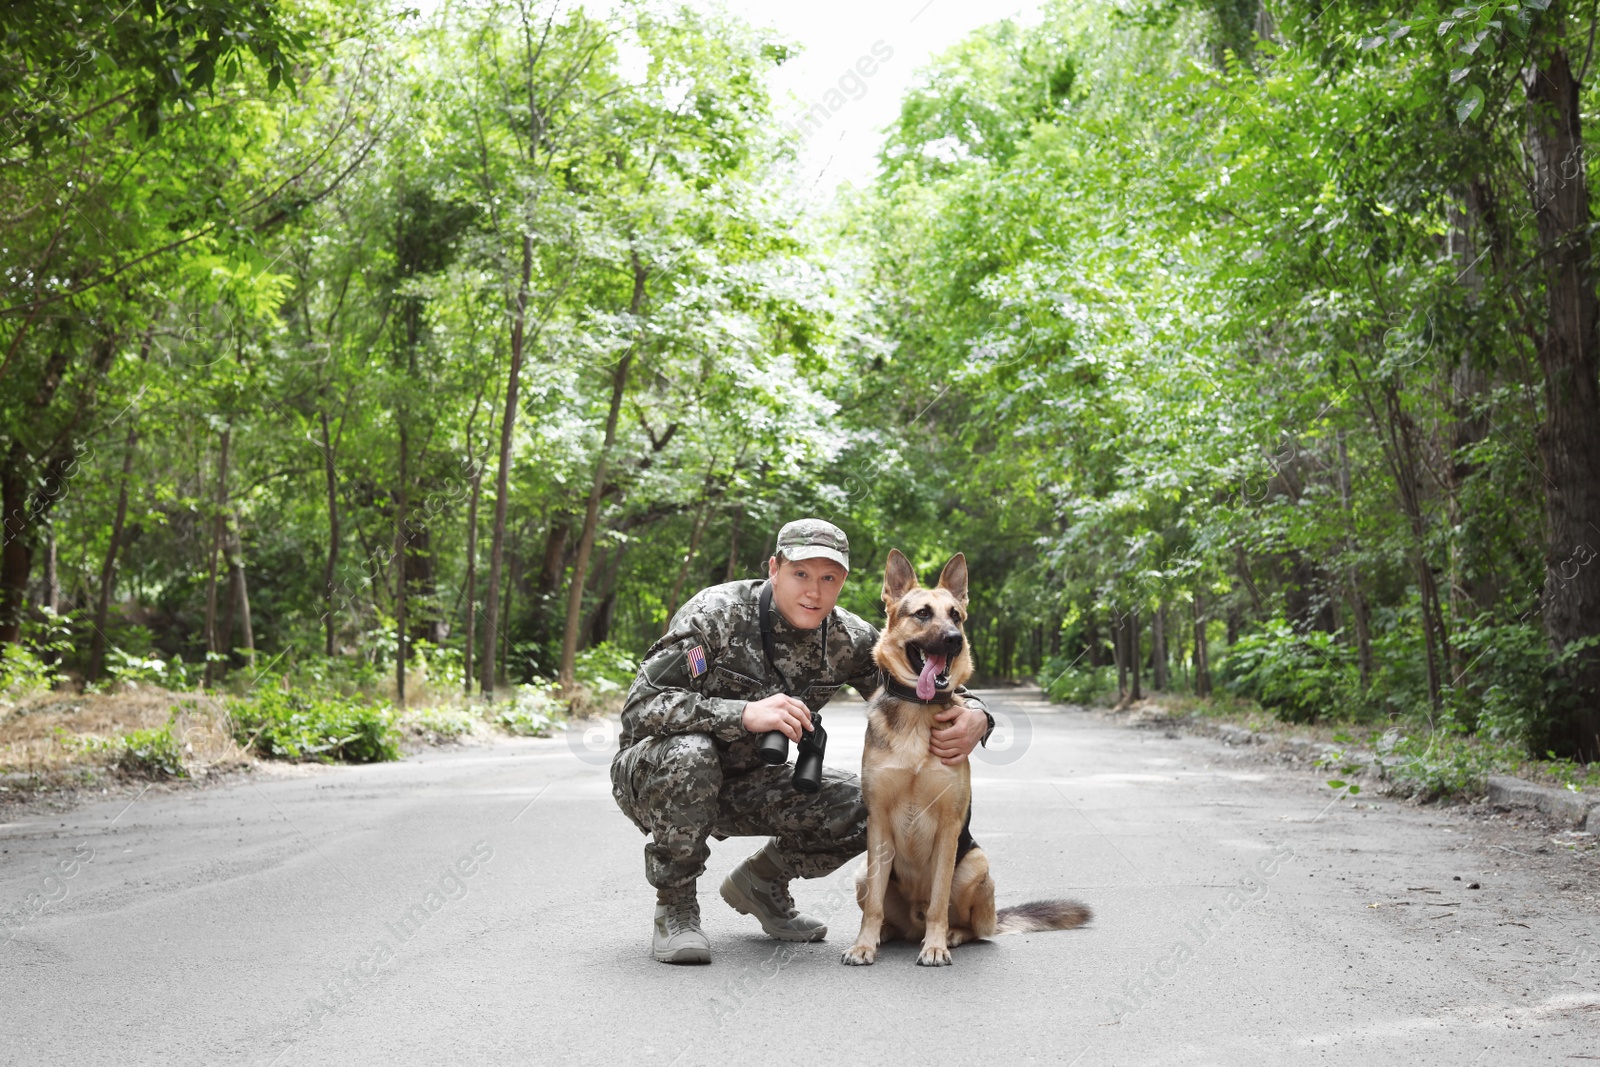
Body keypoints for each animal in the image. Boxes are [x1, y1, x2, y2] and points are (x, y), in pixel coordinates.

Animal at [844, 550, 1094, 966]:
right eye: (923, 613)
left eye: (956, 615)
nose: (954, 640)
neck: (919, 713)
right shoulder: (877, 824)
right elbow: (875, 905)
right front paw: (863, 944)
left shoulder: (948, 826)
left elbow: (939, 900)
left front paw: (935, 947)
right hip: (862, 874)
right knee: (885, 910)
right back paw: (885, 934)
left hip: (976, 864)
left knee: (974, 928)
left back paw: (950, 936)